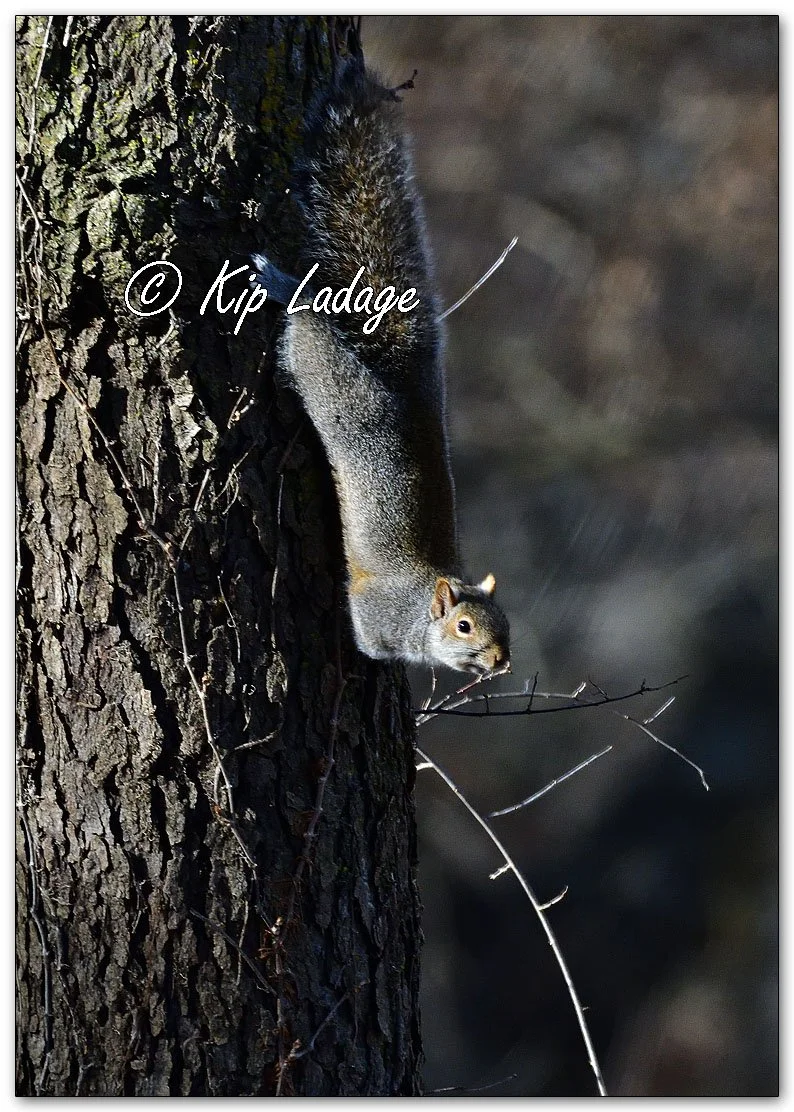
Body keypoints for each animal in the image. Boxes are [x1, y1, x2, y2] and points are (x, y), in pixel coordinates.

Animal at [251, 49, 510, 676]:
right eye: (464, 627)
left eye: (508, 624)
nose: (502, 661)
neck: (421, 604)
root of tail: (405, 390)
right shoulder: (377, 618)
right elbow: (368, 643)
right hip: (334, 385)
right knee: (308, 327)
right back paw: (280, 285)